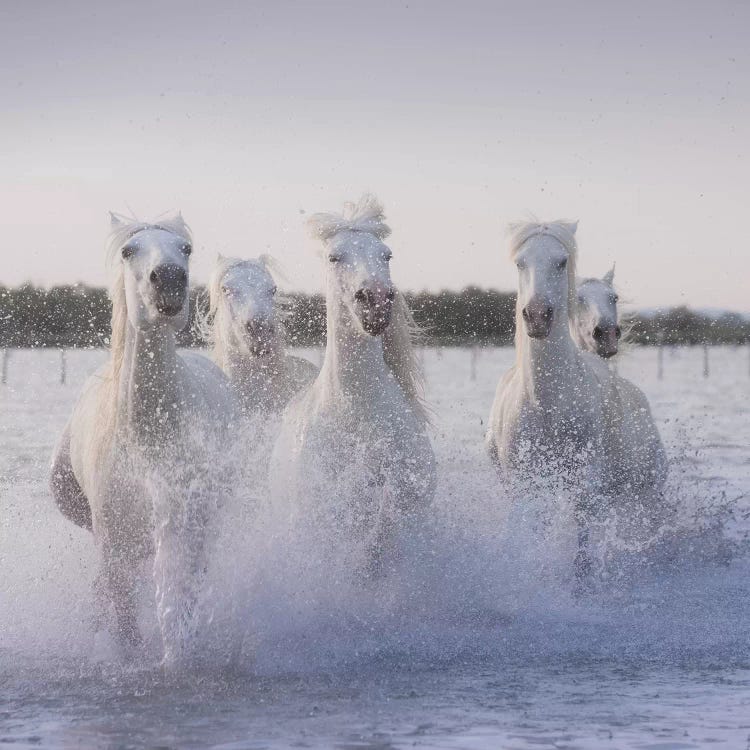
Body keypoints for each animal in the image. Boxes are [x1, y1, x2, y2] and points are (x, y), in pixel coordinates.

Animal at [49, 214, 236, 660]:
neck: (149, 441)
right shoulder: (112, 546)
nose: (167, 279)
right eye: (127, 250)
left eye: (185, 248)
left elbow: (179, 609)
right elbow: (124, 625)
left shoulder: (184, 529)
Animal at [488, 220, 668, 584]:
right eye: (520, 263)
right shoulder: (524, 485)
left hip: (646, 487)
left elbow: (583, 544)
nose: (537, 315)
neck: (547, 405)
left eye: (561, 262)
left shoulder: (587, 483)